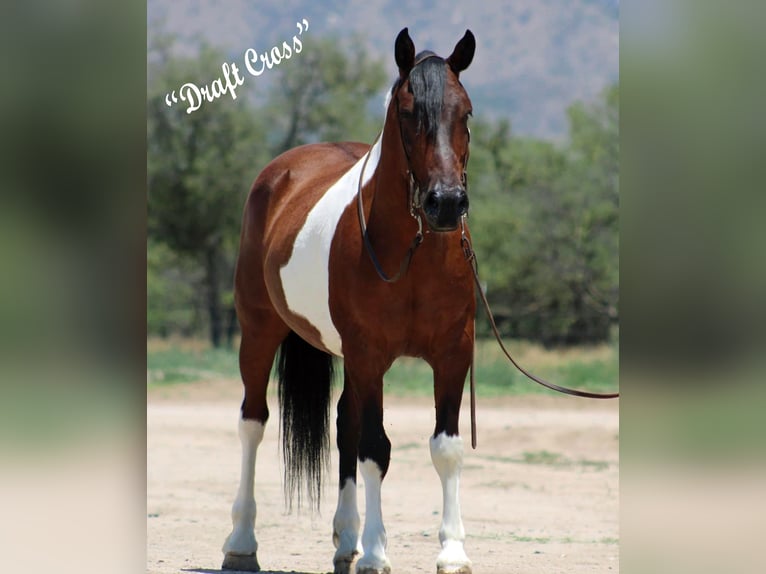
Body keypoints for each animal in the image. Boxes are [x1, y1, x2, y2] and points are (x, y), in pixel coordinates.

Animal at [222, 28, 477, 574]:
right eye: (409, 112)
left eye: (465, 112)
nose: (445, 204)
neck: (412, 256)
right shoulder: (369, 355)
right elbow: (375, 448)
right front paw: (378, 553)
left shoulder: (453, 354)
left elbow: (444, 448)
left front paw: (452, 551)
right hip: (259, 332)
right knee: (253, 423)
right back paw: (241, 543)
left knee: (343, 422)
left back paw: (345, 540)